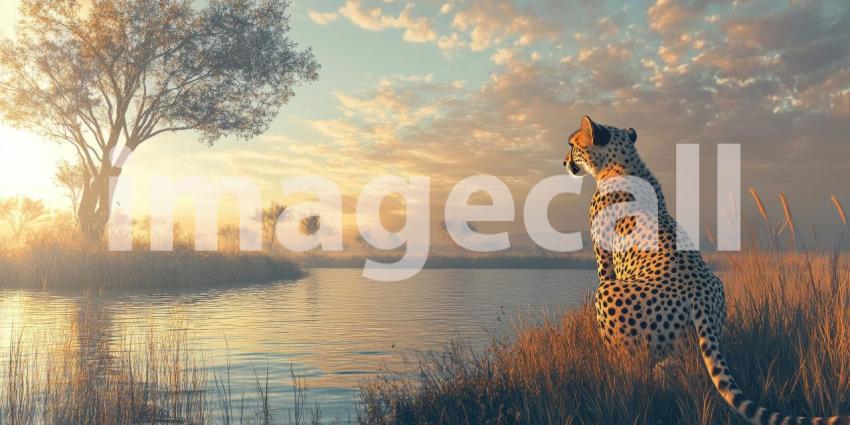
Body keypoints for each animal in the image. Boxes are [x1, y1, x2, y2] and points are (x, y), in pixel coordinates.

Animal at [564, 115, 848, 425]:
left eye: (572, 145)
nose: (564, 162)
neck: (620, 162)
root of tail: (699, 297)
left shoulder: (604, 260)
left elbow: (603, 274)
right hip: (699, 322)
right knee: (676, 367)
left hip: (610, 296)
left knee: (631, 364)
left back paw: (609, 371)